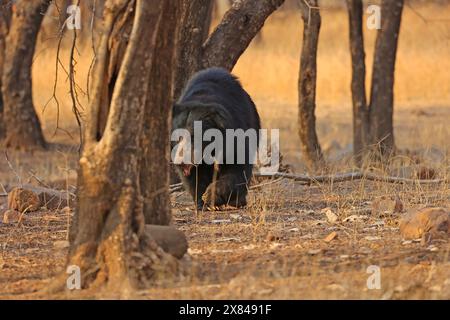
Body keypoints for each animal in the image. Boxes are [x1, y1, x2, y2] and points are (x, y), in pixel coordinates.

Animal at [171, 67, 260, 210]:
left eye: (194, 136)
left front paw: (210, 196)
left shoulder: (235, 131)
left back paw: (237, 202)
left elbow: (237, 166)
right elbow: (195, 176)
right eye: (177, 137)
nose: (181, 161)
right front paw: (202, 202)